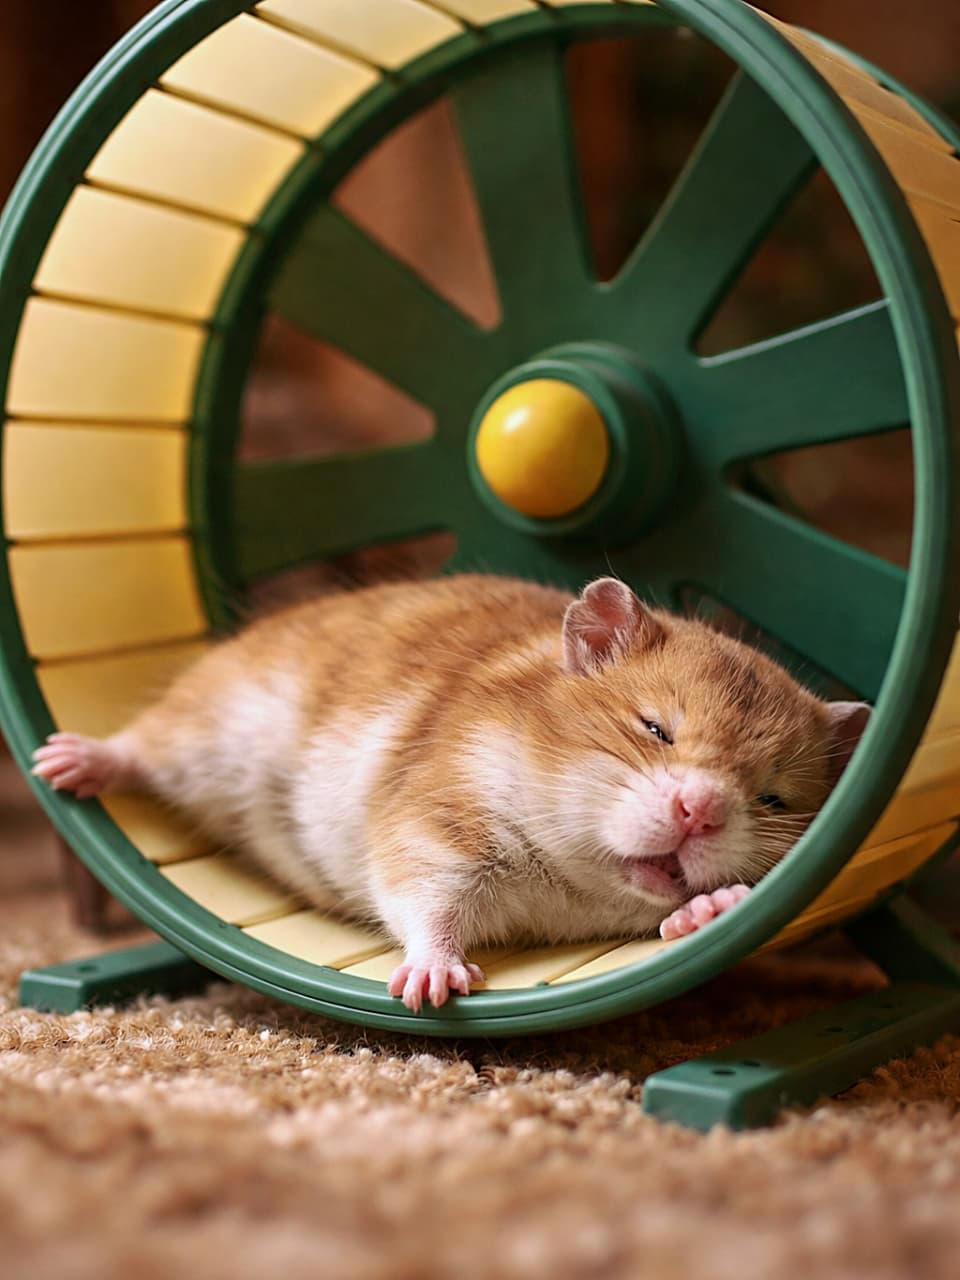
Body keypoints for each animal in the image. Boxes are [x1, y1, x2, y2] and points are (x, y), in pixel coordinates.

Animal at [32, 575, 869, 1012]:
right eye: (655, 728)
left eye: (774, 798)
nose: (700, 813)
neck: (572, 877)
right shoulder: (439, 827)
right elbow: (429, 908)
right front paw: (434, 989)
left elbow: (670, 919)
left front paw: (714, 908)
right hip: (206, 733)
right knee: (138, 745)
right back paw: (61, 762)